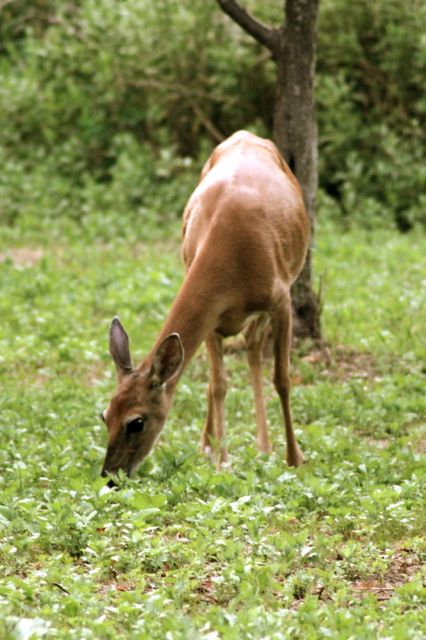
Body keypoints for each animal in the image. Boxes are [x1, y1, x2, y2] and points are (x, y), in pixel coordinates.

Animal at [100, 131, 310, 480]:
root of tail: (247, 134)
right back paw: (220, 445)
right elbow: (218, 384)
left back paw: (265, 446)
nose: (110, 476)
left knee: (254, 348)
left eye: (137, 422)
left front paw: (295, 458)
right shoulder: (214, 314)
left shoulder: (281, 298)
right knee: (246, 350)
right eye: (105, 415)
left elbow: (282, 379)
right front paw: (221, 459)